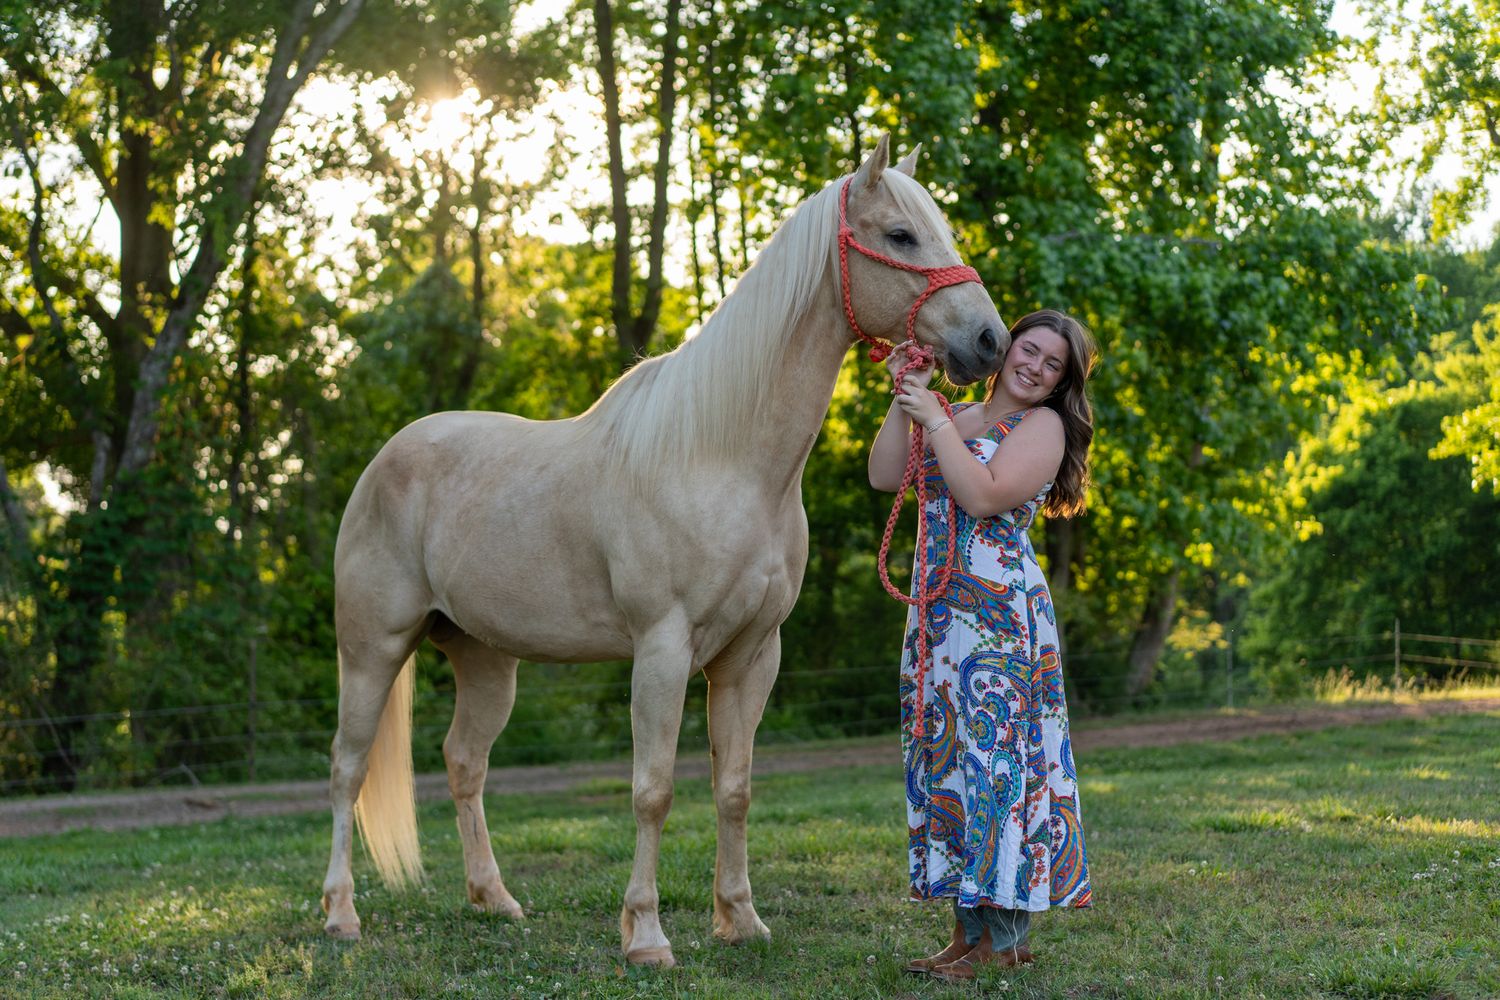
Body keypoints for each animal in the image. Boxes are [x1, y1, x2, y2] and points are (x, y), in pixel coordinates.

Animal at [319, 134, 1008, 968]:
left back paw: (495, 900)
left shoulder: (752, 655)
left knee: (463, 763)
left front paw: (740, 919)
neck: (724, 457)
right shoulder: (662, 650)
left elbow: (734, 788)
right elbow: (653, 790)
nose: (989, 341)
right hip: (373, 651)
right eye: (901, 236)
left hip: (486, 661)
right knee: (348, 766)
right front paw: (646, 934)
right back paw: (340, 914)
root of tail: (385, 460)